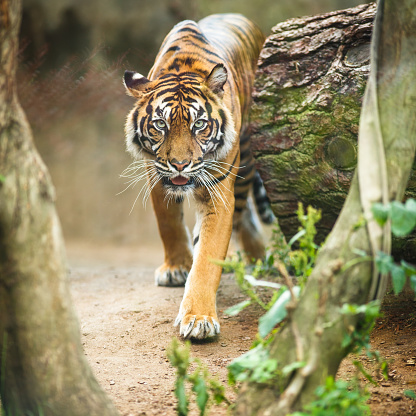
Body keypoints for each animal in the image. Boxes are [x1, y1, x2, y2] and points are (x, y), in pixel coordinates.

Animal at [123, 13, 272, 338]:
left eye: (199, 124)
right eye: (160, 125)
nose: (180, 164)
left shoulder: (219, 193)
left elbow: (208, 256)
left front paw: (199, 319)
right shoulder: (157, 178)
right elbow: (168, 225)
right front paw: (176, 268)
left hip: (245, 160)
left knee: (243, 212)